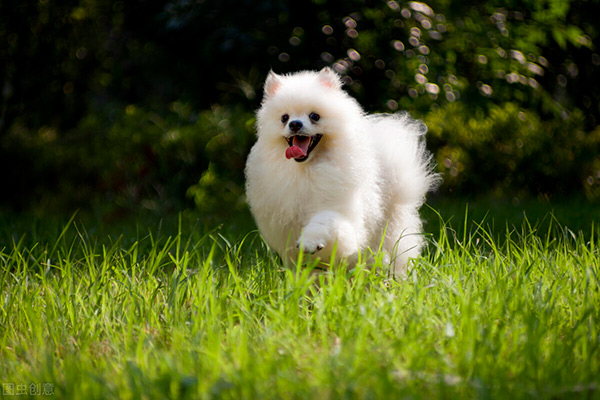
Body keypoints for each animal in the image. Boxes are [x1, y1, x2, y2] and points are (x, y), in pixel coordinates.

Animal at [246, 69, 438, 276]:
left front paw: (310, 241)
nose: (295, 124)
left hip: (392, 233)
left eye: (314, 116)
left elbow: (325, 221)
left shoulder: (338, 209)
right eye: (284, 118)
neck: (307, 170)